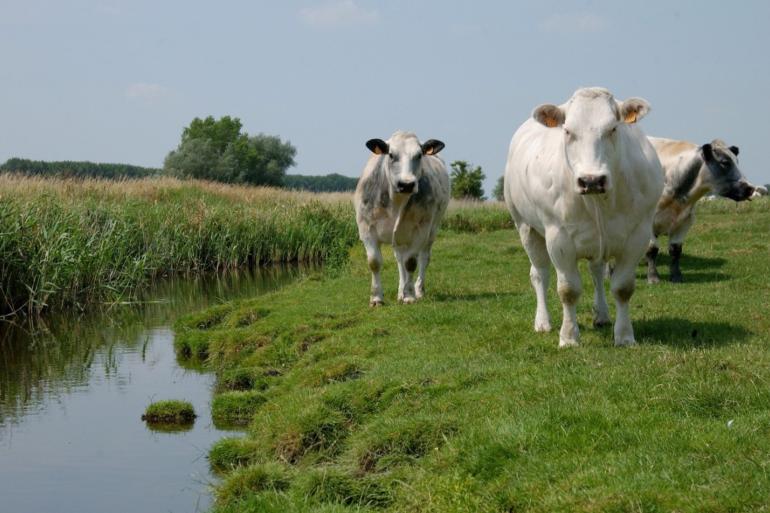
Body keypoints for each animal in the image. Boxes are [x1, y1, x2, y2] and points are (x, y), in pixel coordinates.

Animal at [354, 131, 450, 304]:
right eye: (391, 155)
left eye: (419, 155)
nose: (406, 184)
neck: (396, 202)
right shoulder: (366, 229)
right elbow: (374, 262)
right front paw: (376, 298)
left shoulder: (420, 229)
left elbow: (410, 262)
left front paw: (410, 296)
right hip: (399, 237)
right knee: (399, 259)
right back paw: (400, 292)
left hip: (431, 230)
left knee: (423, 258)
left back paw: (418, 290)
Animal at [640, 138, 756, 282]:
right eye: (725, 162)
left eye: (737, 162)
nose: (750, 188)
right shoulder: (648, 221)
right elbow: (652, 249)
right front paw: (653, 277)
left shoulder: (685, 222)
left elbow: (675, 250)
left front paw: (676, 276)